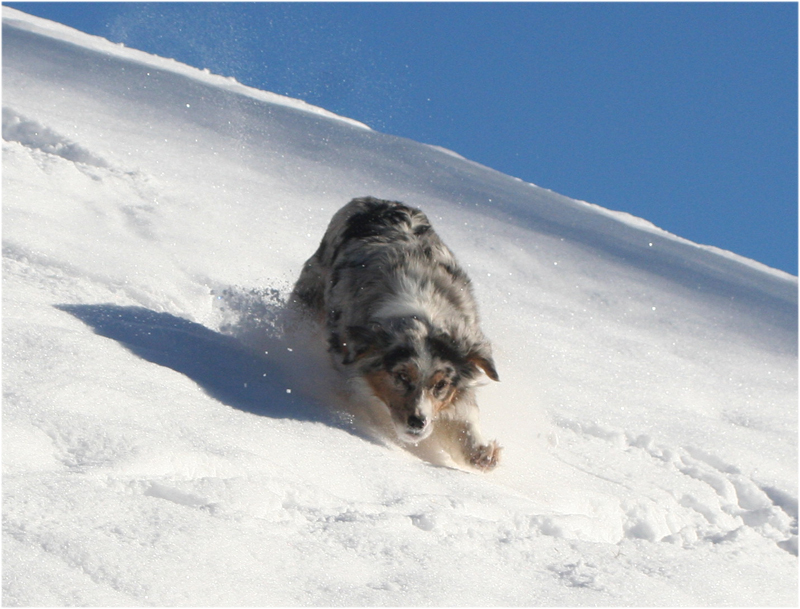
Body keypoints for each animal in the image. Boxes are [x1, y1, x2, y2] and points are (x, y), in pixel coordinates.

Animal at [290, 197, 504, 472]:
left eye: (441, 385)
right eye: (401, 376)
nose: (417, 423)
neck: (422, 315)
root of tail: (376, 200)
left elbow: (464, 416)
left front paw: (481, 453)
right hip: (310, 288)